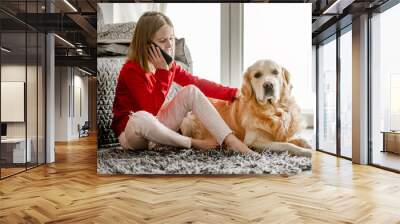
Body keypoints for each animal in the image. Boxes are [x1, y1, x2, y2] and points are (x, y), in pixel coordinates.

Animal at [180, 59, 312, 158]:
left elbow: (298, 139)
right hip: (188, 120)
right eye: (257, 75)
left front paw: (308, 146)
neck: (271, 110)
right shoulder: (254, 141)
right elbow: (286, 145)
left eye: (275, 72)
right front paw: (305, 152)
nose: (268, 85)